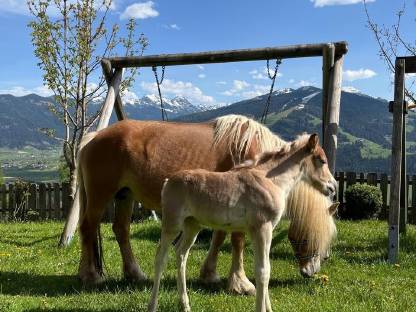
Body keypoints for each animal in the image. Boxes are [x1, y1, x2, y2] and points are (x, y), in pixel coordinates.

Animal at [75, 113, 334, 294]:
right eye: (307, 238)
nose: (311, 272)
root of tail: (93, 137)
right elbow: (237, 241)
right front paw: (240, 283)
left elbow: (219, 237)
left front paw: (210, 273)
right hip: (100, 195)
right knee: (88, 227)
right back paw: (90, 275)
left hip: (125, 195)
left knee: (121, 230)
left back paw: (135, 273)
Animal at [149, 134, 338, 312]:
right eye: (322, 161)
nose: (333, 186)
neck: (270, 180)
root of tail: (168, 182)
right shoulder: (262, 229)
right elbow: (263, 272)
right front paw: (261, 308)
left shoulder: (261, 231)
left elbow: (264, 268)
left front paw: (268, 308)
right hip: (172, 224)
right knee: (160, 257)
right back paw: (153, 305)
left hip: (192, 225)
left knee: (181, 253)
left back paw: (185, 305)